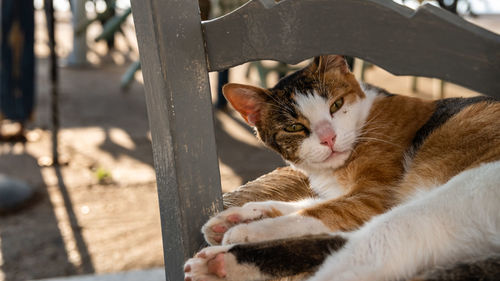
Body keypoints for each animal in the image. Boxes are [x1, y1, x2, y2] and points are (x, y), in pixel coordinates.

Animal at [184, 54, 500, 280]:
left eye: (335, 105)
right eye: (294, 127)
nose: (328, 138)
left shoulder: (374, 197)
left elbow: (317, 212)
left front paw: (248, 229)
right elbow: (308, 203)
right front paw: (239, 216)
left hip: (437, 208)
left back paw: (224, 260)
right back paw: (219, 263)